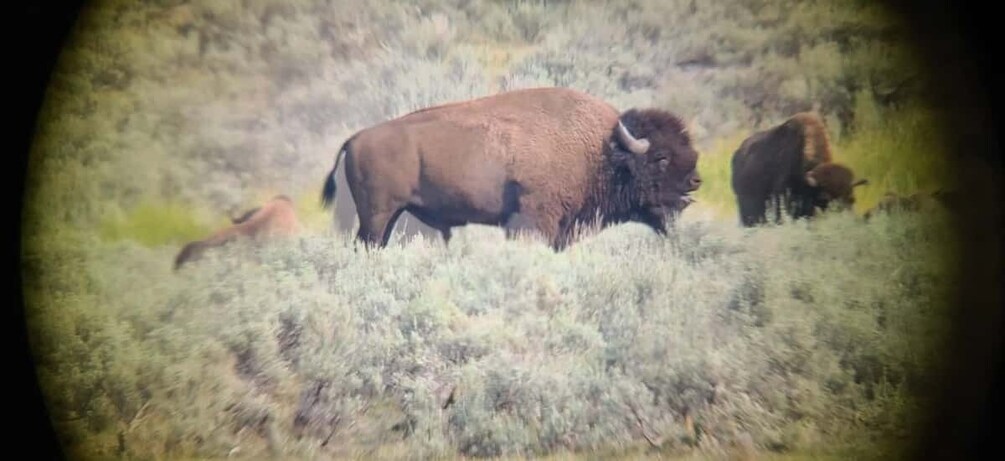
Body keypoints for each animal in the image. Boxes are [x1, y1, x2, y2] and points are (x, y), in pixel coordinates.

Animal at [319, 86, 699, 253]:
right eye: (661, 158)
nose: (696, 181)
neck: (602, 149)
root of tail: (355, 138)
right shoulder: (535, 220)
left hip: (390, 215)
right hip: (377, 215)